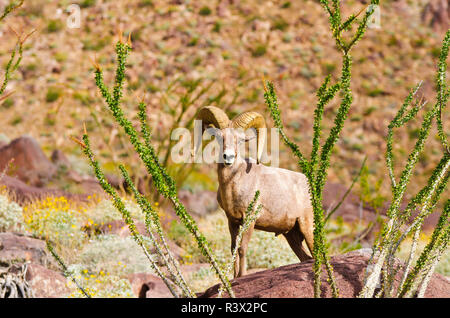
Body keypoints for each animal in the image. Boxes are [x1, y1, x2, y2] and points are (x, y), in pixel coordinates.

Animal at [197, 105, 312, 278]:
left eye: (239, 140)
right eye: (219, 137)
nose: (228, 157)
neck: (233, 185)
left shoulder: (249, 220)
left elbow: (242, 249)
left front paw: (242, 275)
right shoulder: (232, 221)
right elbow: (233, 249)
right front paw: (234, 278)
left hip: (307, 228)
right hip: (292, 235)